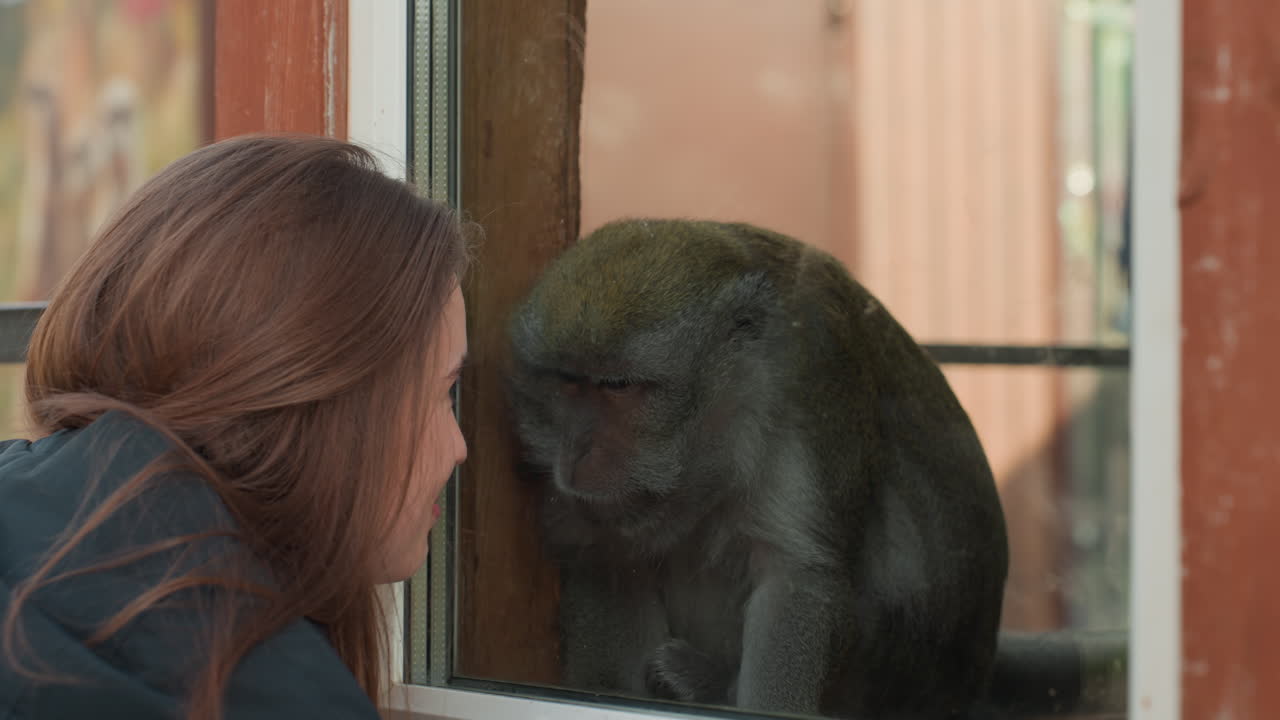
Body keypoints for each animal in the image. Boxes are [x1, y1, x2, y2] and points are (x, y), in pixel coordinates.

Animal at [507, 219, 1009, 719]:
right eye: (569, 382)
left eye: (617, 386)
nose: (576, 454)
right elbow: (605, 556)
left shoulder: (807, 405)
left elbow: (798, 581)